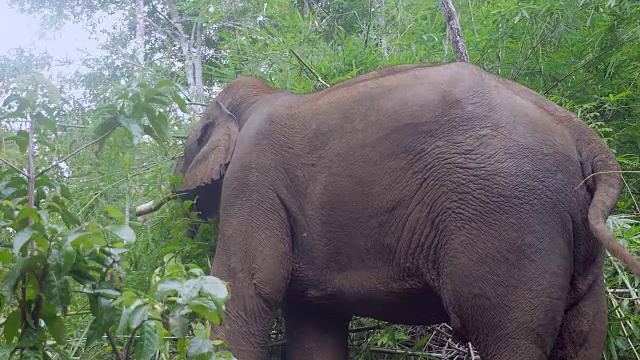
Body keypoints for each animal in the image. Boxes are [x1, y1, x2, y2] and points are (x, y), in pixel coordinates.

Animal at [160, 63, 640, 358]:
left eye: (188, 146)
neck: (261, 96)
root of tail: (582, 133)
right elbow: (314, 320)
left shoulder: (253, 177)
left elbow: (246, 287)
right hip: (574, 235)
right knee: (584, 333)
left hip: (509, 220)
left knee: (511, 337)